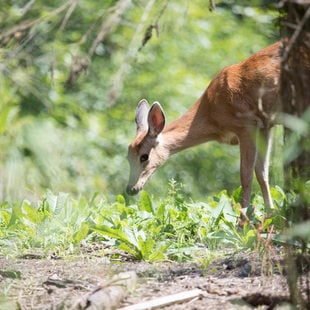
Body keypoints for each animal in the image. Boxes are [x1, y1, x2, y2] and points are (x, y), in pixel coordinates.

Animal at [125, 41, 280, 217]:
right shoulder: (265, 127)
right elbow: (262, 173)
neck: (212, 115)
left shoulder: (247, 125)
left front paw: (243, 221)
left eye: (144, 157)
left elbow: (245, 178)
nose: (130, 189)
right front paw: (270, 215)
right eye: (128, 157)